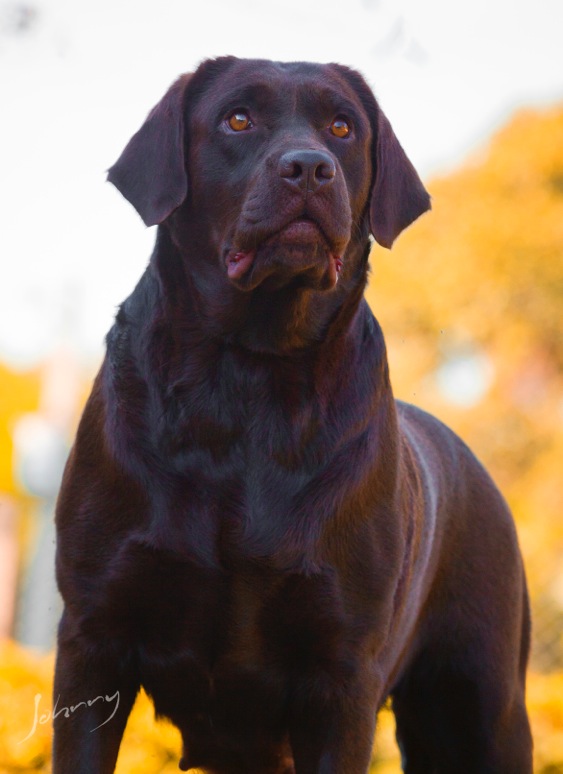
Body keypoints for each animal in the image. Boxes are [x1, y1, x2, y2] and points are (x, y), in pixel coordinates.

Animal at [53, 57, 532, 772]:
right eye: (238, 119)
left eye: (342, 128)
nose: (309, 167)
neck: (250, 377)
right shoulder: (93, 638)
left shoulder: (341, 675)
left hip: (483, 708)